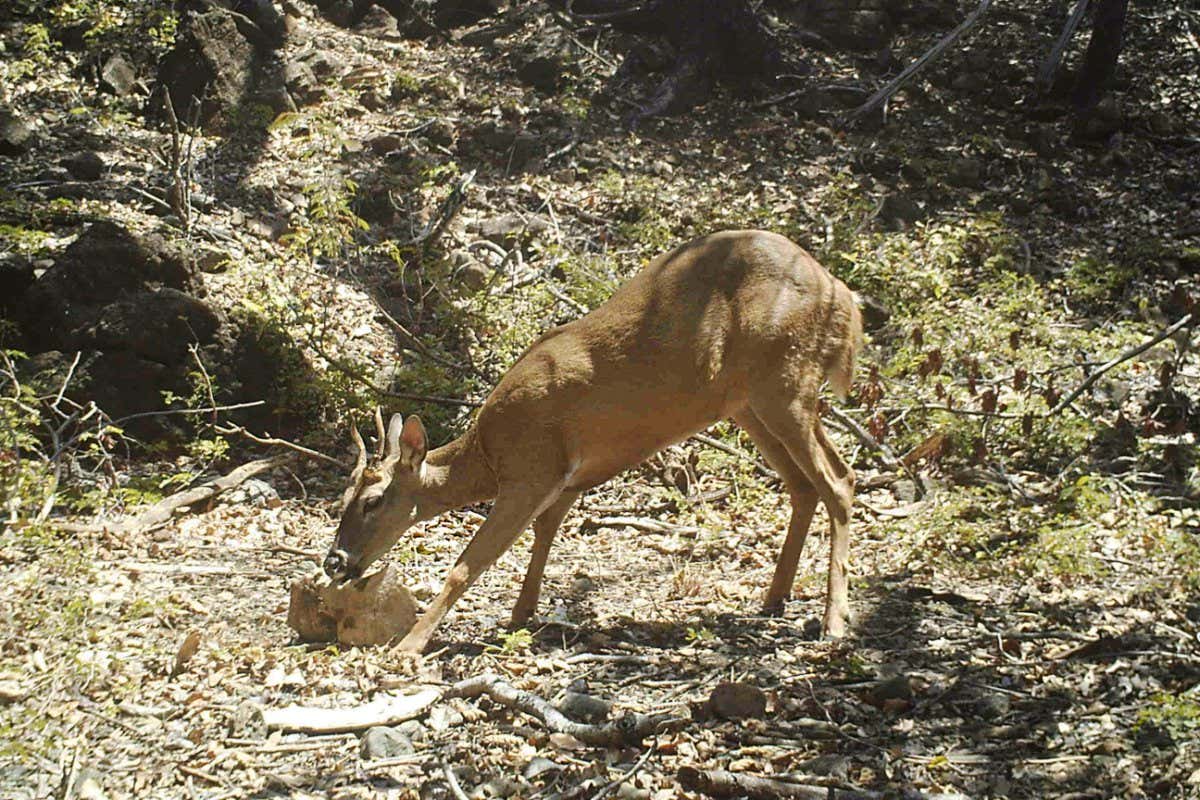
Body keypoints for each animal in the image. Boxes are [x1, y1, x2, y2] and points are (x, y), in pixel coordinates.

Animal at [323, 229, 863, 655]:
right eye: (340, 499)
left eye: (373, 501)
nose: (334, 561)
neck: (489, 453)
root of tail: (843, 297)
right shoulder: (571, 475)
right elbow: (545, 534)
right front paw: (521, 613)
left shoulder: (532, 467)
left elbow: (470, 562)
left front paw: (409, 647)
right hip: (748, 402)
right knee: (803, 484)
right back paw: (775, 598)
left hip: (785, 379)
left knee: (839, 478)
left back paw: (833, 620)